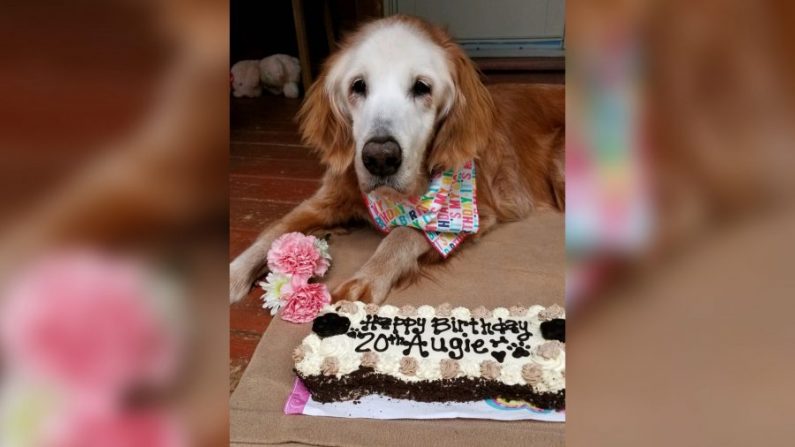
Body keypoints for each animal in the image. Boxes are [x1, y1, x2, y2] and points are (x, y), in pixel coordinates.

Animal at [230, 15, 564, 306]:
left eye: (422, 87)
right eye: (358, 86)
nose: (380, 159)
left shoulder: (475, 211)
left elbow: (405, 232)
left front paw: (367, 278)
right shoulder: (328, 198)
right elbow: (275, 229)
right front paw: (234, 272)